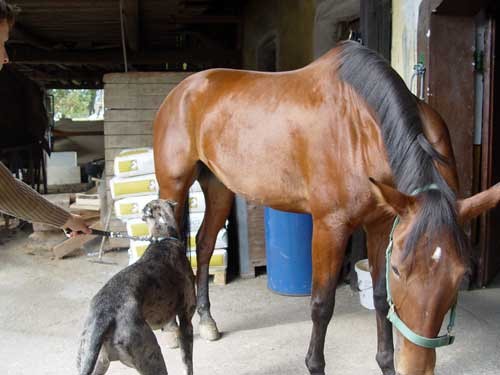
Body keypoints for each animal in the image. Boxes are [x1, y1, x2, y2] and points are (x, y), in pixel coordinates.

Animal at [77, 200, 196, 375]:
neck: (163, 238)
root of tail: (103, 317)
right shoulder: (186, 322)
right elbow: (188, 365)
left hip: (94, 360)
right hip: (152, 357)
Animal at [152, 41, 500, 375]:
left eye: (462, 274)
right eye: (399, 270)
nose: (416, 368)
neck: (364, 125)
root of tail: (183, 89)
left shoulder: (381, 223)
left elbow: (379, 297)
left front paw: (387, 363)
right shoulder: (329, 227)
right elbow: (322, 304)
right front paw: (315, 364)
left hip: (219, 187)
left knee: (205, 244)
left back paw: (206, 320)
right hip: (173, 186)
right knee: (166, 244)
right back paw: (170, 329)